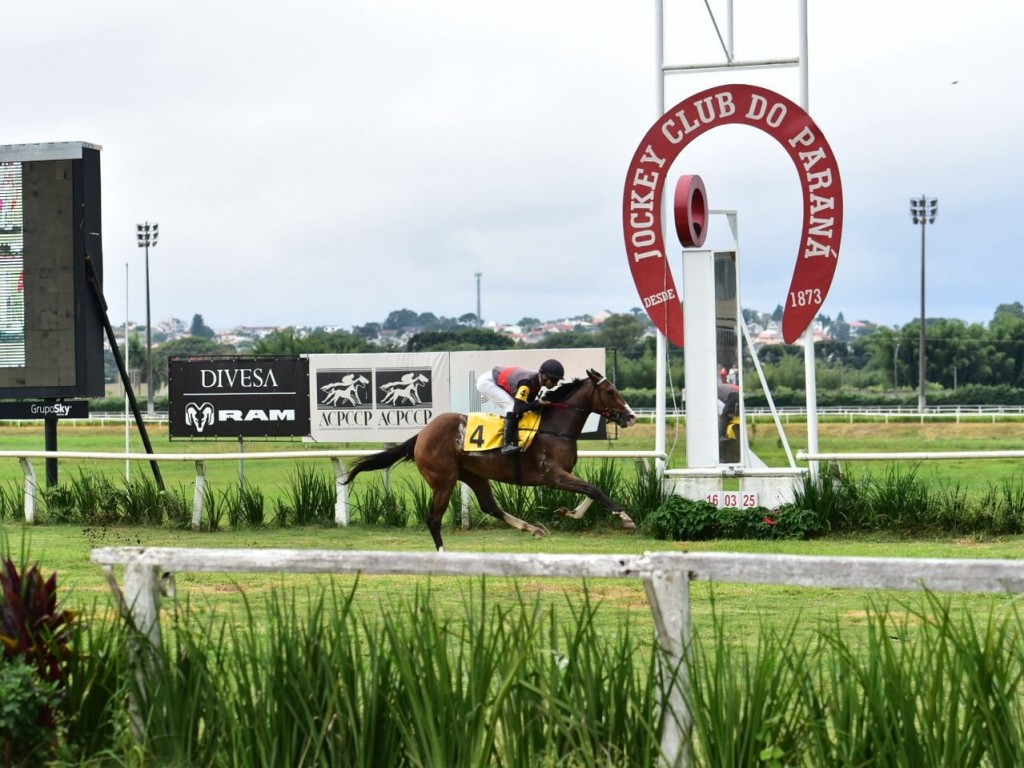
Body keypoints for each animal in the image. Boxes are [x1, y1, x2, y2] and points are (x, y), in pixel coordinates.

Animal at [339, 370, 634, 548]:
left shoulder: (563, 475)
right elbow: (594, 489)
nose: (630, 416)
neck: (554, 428)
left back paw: (532, 528)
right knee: (433, 519)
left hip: (472, 474)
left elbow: (592, 490)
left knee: (489, 506)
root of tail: (422, 434)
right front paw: (625, 517)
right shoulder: (554, 476)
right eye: (610, 391)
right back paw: (443, 553)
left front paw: (568, 512)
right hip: (444, 480)